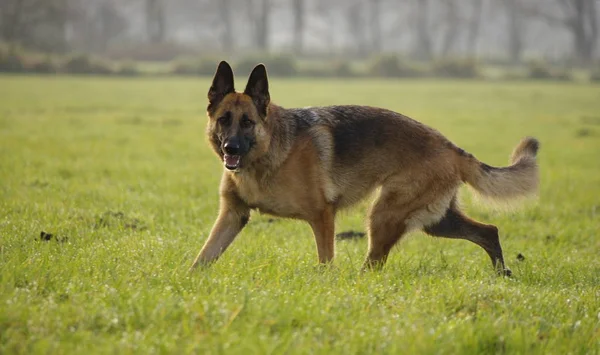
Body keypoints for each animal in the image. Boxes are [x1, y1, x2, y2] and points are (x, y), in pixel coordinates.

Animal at [191, 61, 540, 276]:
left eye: (247, 122)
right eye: (224, 120)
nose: (230, 149)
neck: (268, 154)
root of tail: (452, 148)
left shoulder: (322, 216)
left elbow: (326, 262)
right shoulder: (233, 215)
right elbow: (203, 258)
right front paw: (190, 284)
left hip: (384, 215)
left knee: (375, 264)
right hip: (436, 220)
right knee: (488, 231)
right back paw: (502, 273)